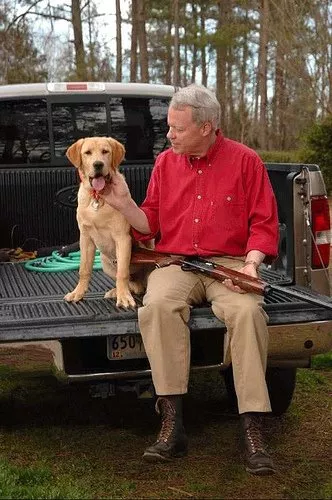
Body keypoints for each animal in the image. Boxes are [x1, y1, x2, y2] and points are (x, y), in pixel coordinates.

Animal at [63, 138, 144, 308]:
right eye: (87, 153)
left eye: (105, 151)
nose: (98, 164)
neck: (98, 197)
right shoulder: (85, 238)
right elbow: (84, 269)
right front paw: (77, 293)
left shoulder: (123, 238)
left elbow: (122, 272)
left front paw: (124, 298)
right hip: (105, 262)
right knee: (133, 284)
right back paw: (116, 291)